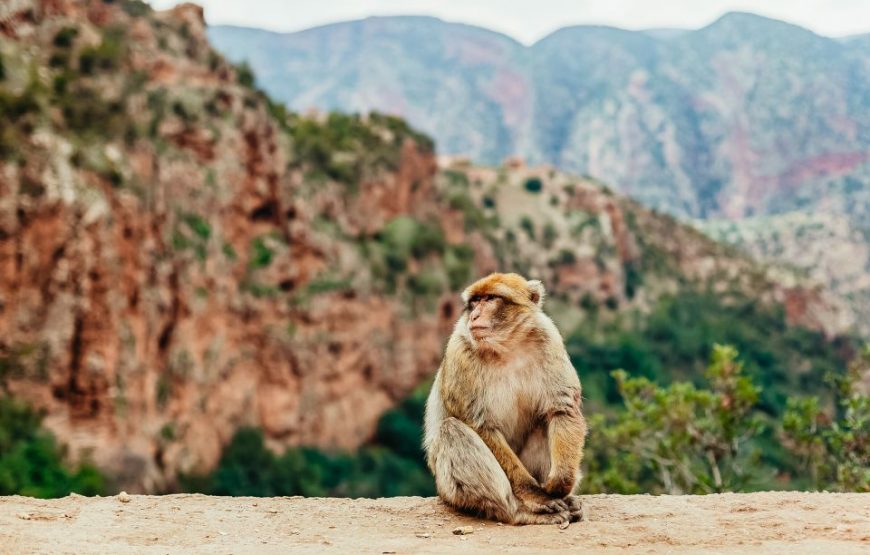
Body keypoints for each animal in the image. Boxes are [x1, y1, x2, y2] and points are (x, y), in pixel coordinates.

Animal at [426, 274, 588, 524]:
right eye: (475, 301)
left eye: (490, 298)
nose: (474, 315)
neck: (506, 347)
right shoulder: (460, 352)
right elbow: (481, 426)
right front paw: (537, 496)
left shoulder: (549, 339)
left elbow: (560, 409)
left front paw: (560, 484)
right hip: (448, 491)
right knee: (451, 430)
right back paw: (520, 511)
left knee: (543, 423)